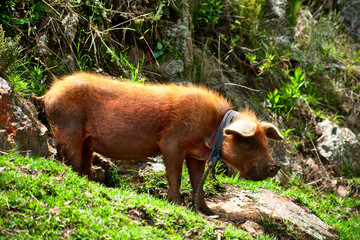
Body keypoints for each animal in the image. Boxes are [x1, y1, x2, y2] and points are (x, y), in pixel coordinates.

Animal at [38, 72, 282, 211]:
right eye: (250, 142)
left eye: (265, 141)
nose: (275, 167)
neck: (214, 129)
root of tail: (48, 93)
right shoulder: (172, 143)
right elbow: (175, 175)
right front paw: (175, 204)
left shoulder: (196, 155)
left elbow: (197, 181)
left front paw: (206, 210)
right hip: (68, 126)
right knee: (70, 158)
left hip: (86, 140)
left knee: (83, 162)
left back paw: (89, 181)